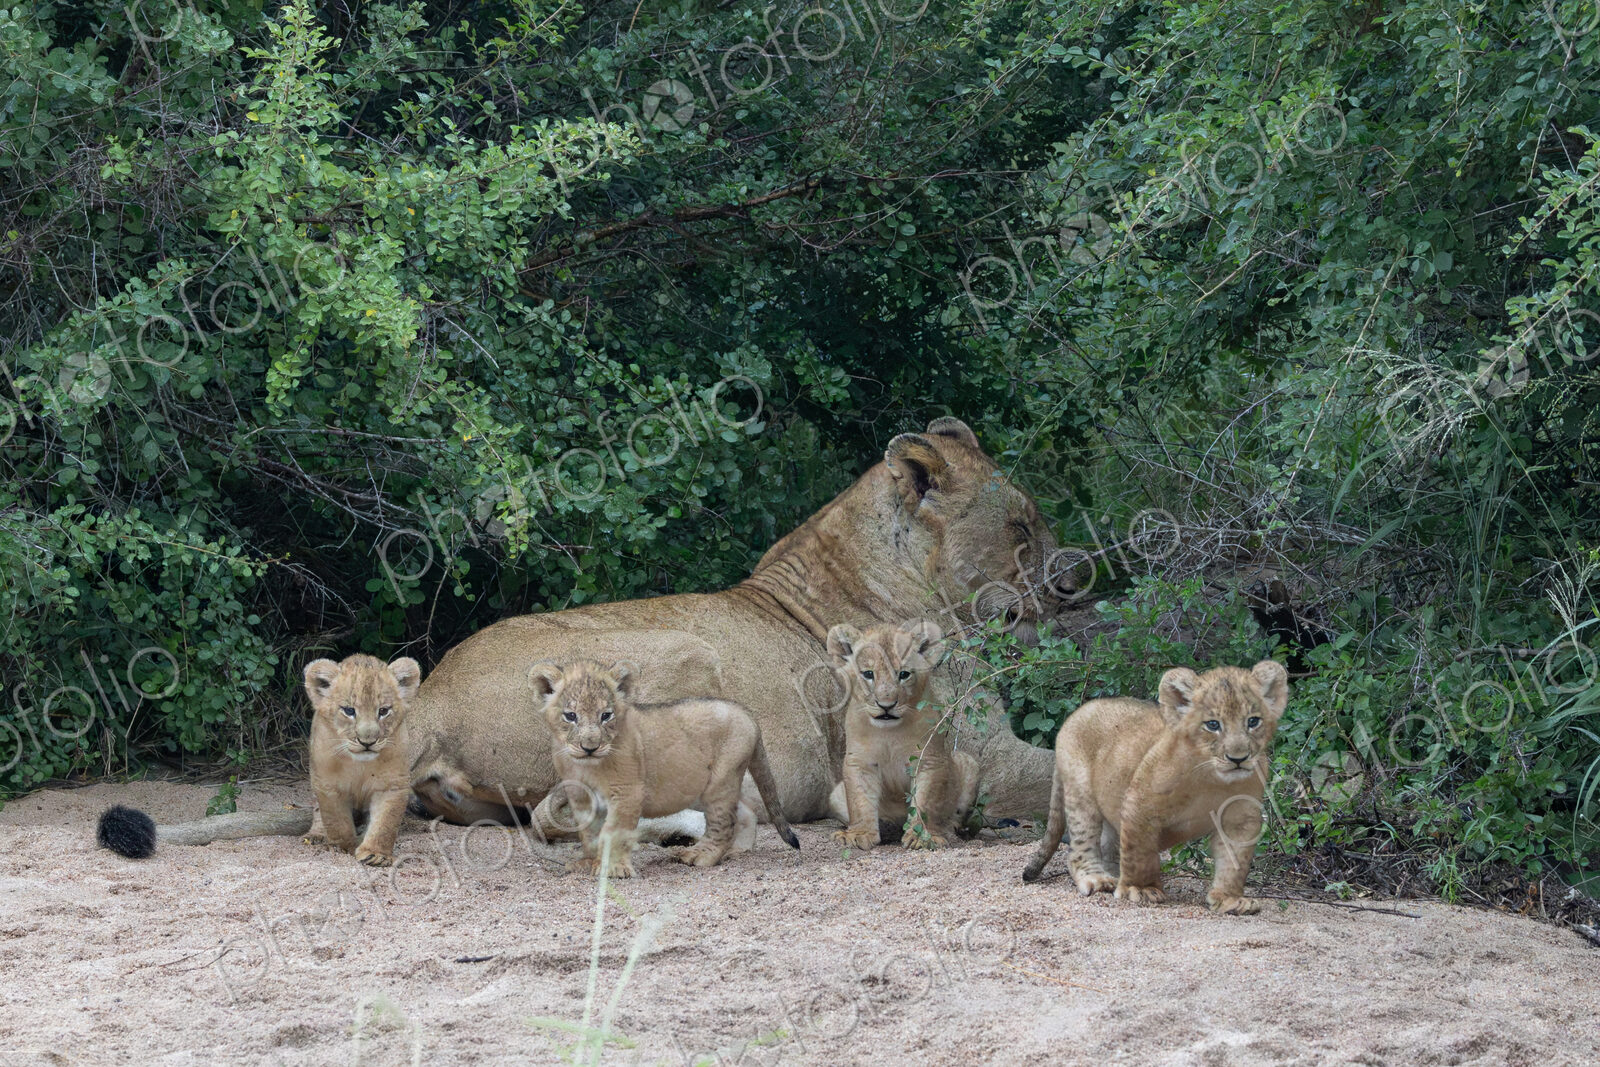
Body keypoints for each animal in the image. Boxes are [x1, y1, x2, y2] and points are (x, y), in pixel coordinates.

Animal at [301, 654, 421, 867]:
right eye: (349, 710)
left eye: (383, 711)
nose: (367, 741)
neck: (359, 765)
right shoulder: (327, 784)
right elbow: (336, 820)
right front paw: (342, 848)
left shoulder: (392, 785)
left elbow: (385, 823)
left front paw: (376, 854)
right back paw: (316, 836)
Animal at [530, 659, 800, 878]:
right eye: (570, 716)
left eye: (606, 715)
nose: (590, 747)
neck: (586, 767)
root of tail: (746, 711)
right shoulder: (581, 797)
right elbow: (589, 834)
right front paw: (589, 862)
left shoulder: (627, 793)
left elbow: (614, 832)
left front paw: (613, 869)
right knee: (746, 810)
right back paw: (737, 851)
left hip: (722, 779)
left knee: (723, 822)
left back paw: (700, 855)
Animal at [826, 619, 967, 851]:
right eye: (868, 674)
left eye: (903, 674)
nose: (886, 705)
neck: (888, 733)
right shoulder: (859, 762)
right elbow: (859, 799)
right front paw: (858, 834)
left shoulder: (929, 760)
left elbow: (925, 801)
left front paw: (922, 837)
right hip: (836, 794)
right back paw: (887, 825)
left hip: (968, 762)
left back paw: (948, 828)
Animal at [1021, 661, 1289, 914]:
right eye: (1213, 725)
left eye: (1253, 721)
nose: (1238, 758)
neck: (1212, 780)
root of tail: (1079, 710)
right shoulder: (1140, 805)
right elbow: (1139, 853)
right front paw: (1139, 889)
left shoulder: (1240, 818)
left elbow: (1235, 862)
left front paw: (1229, 899)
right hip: (1080, 795)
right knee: (1079, 848)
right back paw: (1098, 879)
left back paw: (1114, 875)